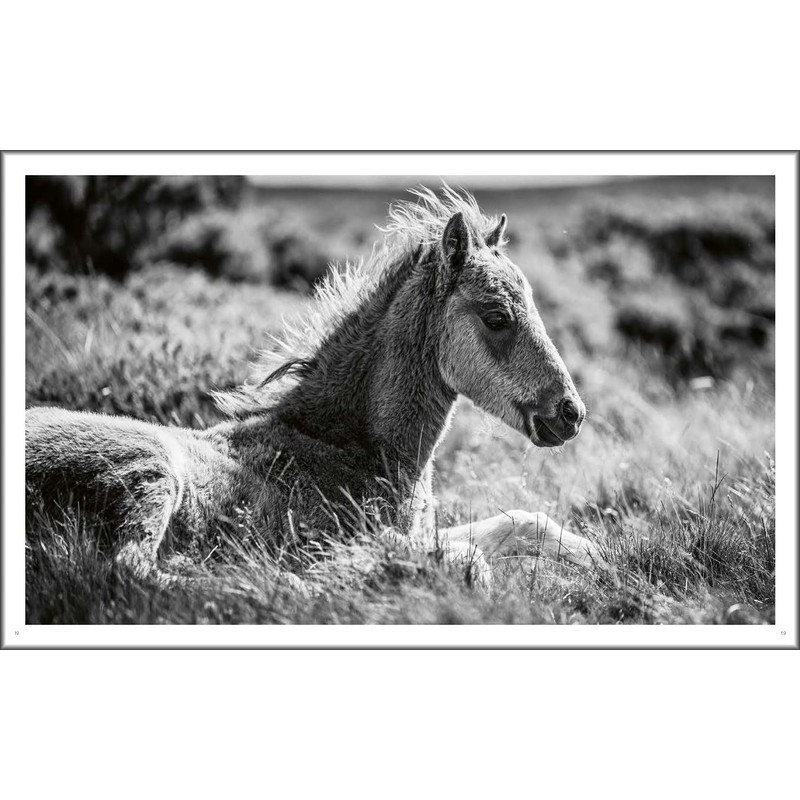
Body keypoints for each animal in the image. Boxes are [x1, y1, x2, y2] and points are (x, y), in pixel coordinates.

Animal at [25, 186, 603, 587]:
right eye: (497, 317)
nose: (570, 413)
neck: (345, 445)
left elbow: (521, 523)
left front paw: (601, 559)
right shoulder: (354, 528)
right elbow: (470, 560)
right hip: (151, 468)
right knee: (129, 568)